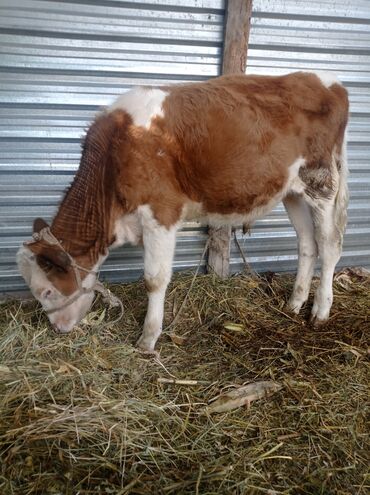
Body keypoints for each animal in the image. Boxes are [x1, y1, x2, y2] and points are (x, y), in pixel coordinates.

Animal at [17, 72, 348, 352]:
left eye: (47, 292)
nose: (58, 329)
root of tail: (328, 82)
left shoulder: (161, 213)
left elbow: (154, 279)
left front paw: (148, 339)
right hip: (292, 191)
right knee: (307, 242)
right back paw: (294, 303)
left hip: (320, 182)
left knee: (329, 244)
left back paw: (320, 310)